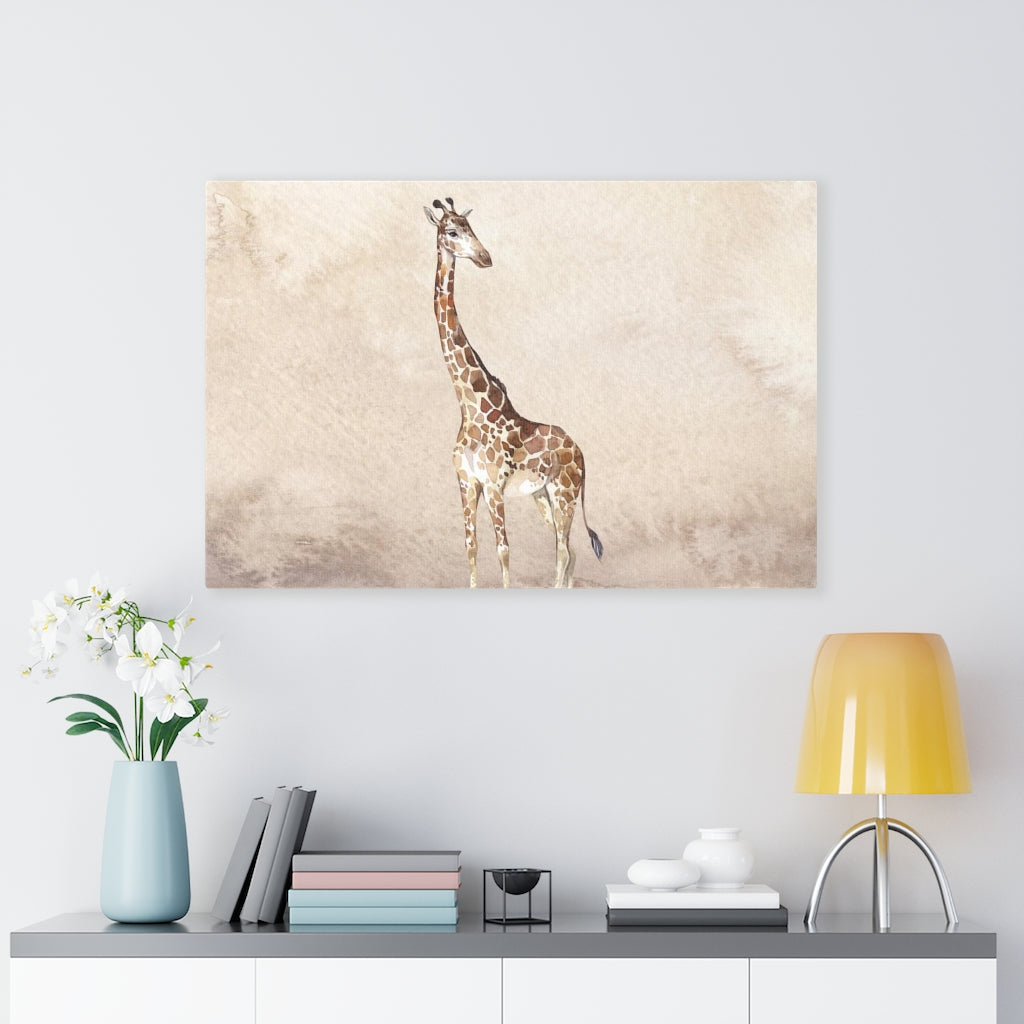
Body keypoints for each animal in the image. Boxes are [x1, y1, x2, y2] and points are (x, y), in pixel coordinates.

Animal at [424, 197, 603, 588]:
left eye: (471, 228)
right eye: (451, 231)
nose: (484, 256)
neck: (469, 405)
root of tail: (581, 451)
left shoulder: (493, 485)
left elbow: (503, 551)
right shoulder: (466, 482)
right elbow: (471, 547)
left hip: (564, 493)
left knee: (563, 551)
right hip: (542, 496)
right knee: (570, 552)